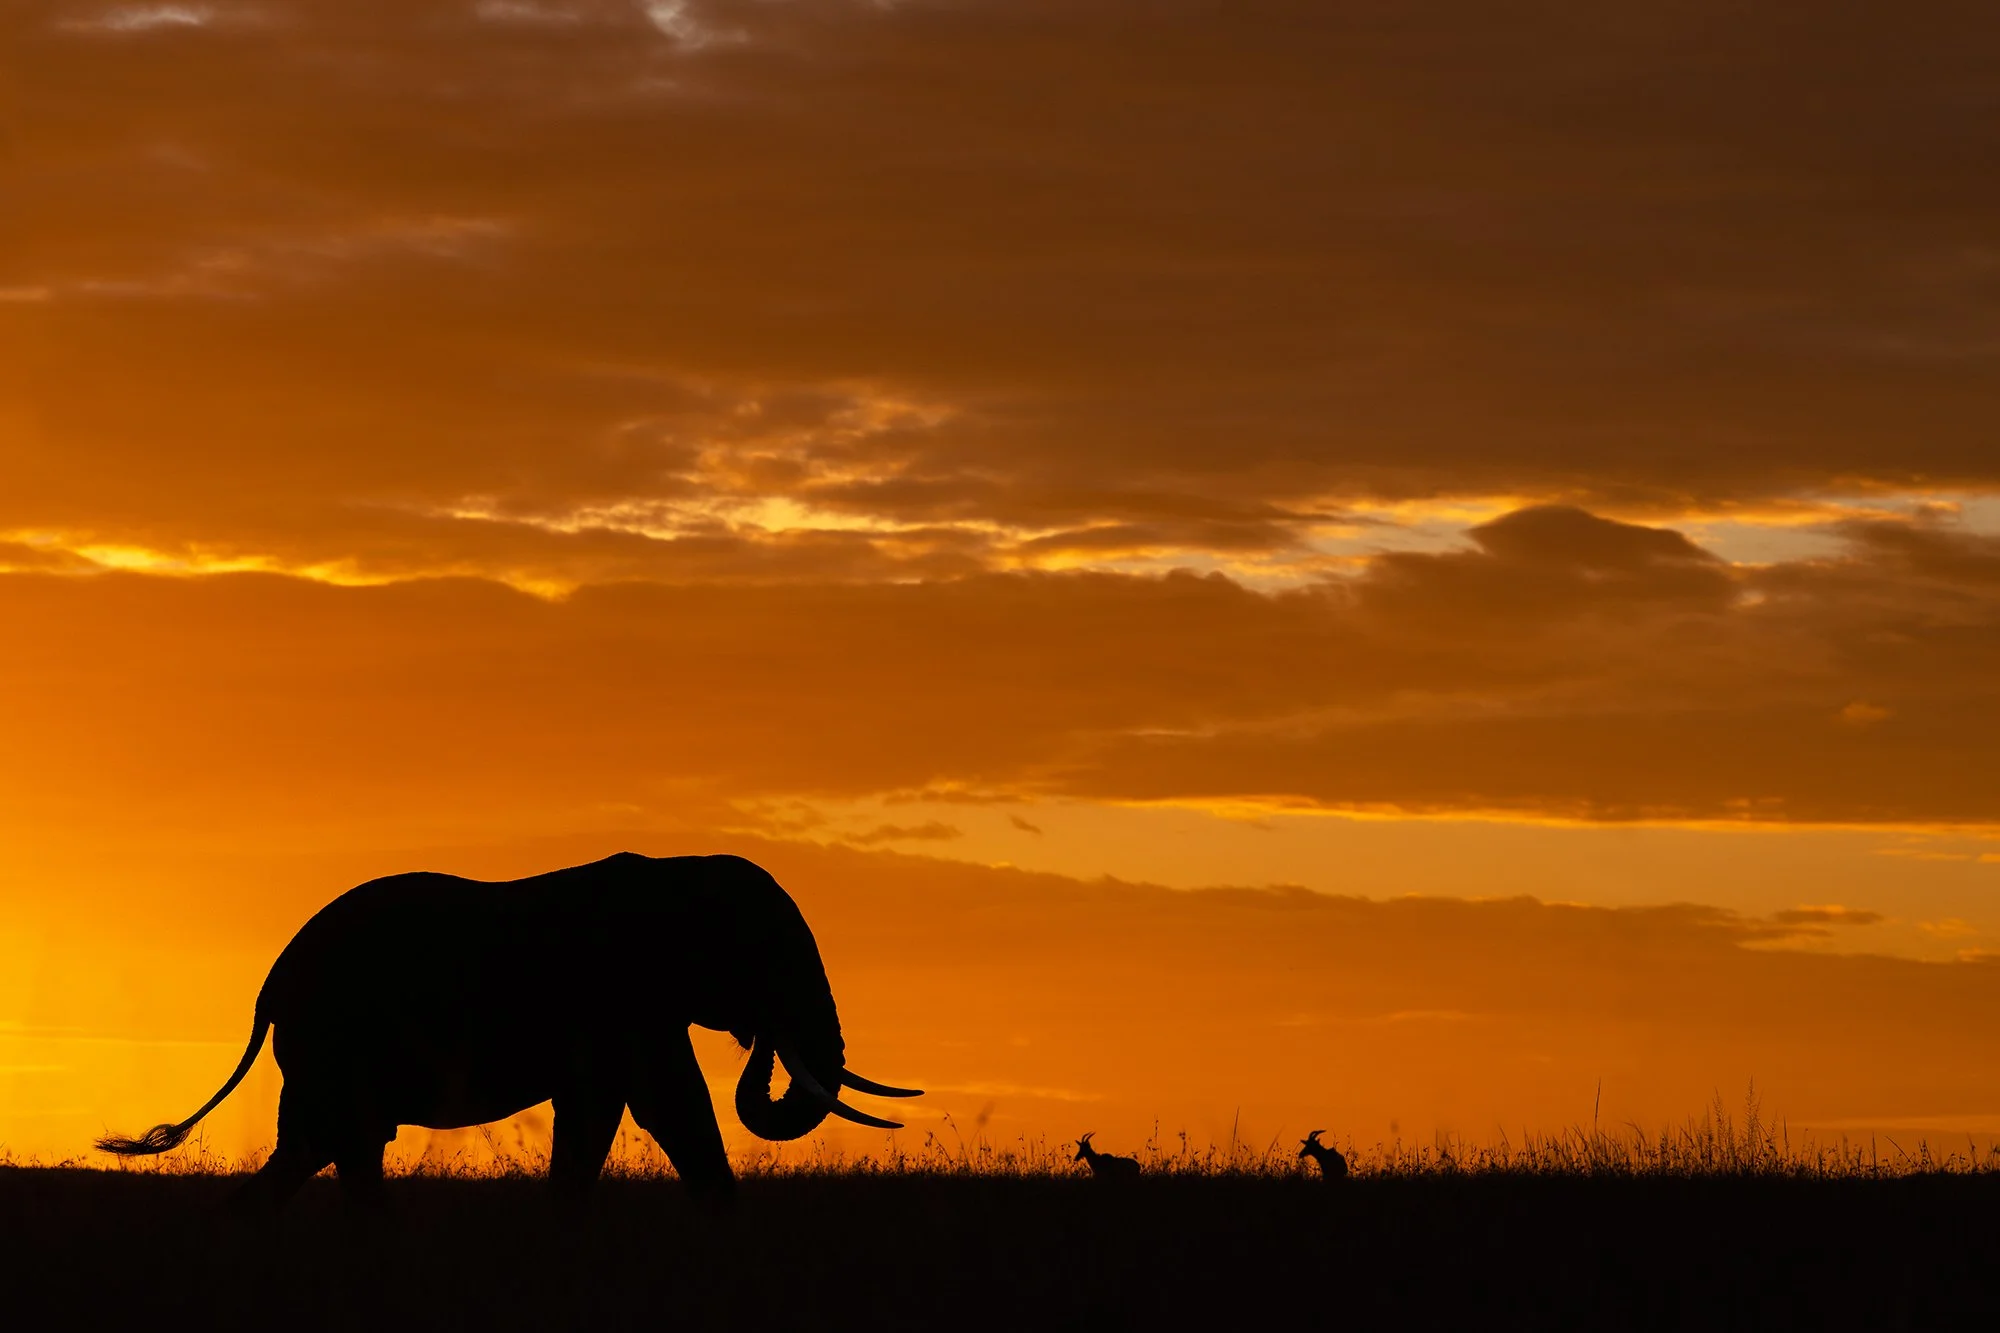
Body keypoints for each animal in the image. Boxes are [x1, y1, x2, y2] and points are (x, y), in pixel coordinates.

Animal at [97, 852, 920, 1210]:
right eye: (764, 953)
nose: (764, 1040)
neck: (676, 872)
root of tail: (270, 985)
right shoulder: (621, 995)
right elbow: (668, 1103)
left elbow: (609, 1114)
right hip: (332, 1038)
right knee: (333, 1142)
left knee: (323, 1148)